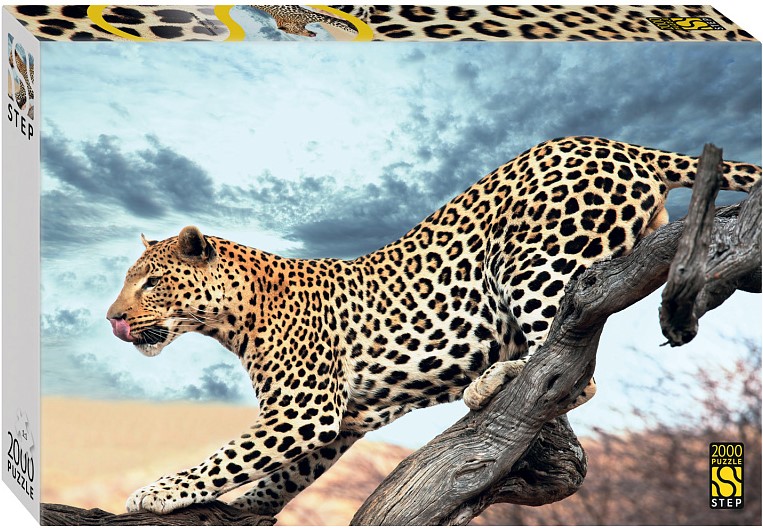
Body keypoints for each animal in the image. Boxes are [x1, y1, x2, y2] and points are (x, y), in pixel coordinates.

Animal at [107, 136, 760, 515]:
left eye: (151, 282)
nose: (112, 319)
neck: (233, 316)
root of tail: (618, 143)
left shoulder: (303, 409)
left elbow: (227, 457)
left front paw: (157, 492)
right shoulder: (341, 420)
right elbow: (279, 474)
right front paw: (252, 509)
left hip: (533, 260)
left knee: (573, 364)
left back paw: (494, 380)